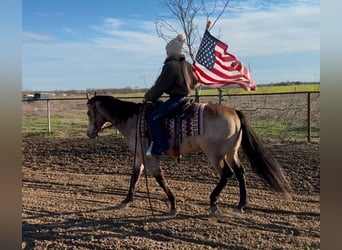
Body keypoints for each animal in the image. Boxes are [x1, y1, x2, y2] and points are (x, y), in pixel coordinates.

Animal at [85, 94, 292, 215]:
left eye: (88, 113)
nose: (89, 134)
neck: (135, 120)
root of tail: (234, 111)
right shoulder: (139, 156)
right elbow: (134, 176)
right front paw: (127, 200)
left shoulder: (150, 158)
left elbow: (160, 178)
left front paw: (173, 204)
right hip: (231, 153)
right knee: (240, 172)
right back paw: (241, 204)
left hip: (215, 155)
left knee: (227, 174)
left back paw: (213, 201)